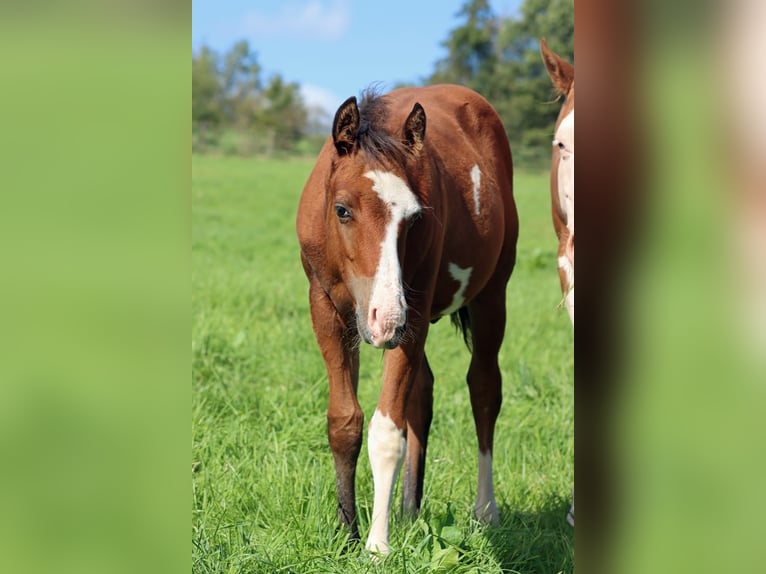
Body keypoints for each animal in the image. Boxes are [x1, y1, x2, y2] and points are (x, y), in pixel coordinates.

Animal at [296, 84, 518, 554]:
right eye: (342, 209)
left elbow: (386, 431)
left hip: (492, 295)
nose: (385, 319)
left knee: (484, 389)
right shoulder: (325, 307)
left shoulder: (412, 313)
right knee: (423, 393)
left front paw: (377, 545)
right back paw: (409, 509)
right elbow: (344, 421)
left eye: (414, 217)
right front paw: (347, 532)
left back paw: (485, 511)